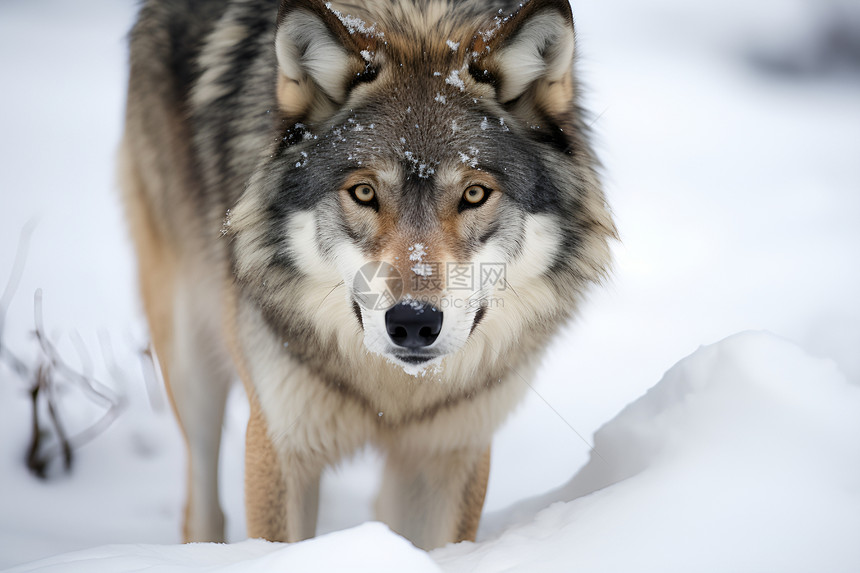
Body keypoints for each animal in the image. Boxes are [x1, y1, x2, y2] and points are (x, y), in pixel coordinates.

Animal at [122, 0, 620, 548]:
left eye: (474, 194)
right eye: (364, 192)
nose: (413, 322)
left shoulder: (451, 448)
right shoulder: (281, 441)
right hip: (191, 357)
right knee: (200, 491)